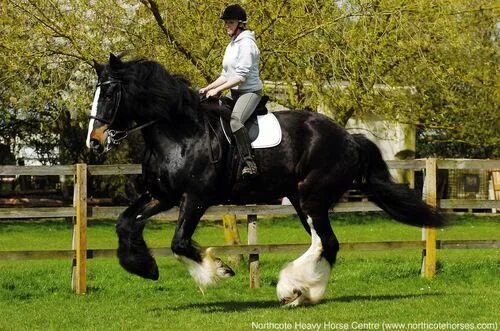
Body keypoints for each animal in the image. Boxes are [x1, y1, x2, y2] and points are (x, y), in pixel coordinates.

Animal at [88, 53, 444, 306]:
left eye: (109, 92)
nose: (95, 140)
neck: (179, 131)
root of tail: (349, 138)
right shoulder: (161, 195)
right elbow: (125, 223)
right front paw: (144, 267)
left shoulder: (195, 198)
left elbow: (179, 243)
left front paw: (218, 271)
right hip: (301, 199)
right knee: (321, 242)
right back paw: (301, 292)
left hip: (312, 196)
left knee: (327, 242)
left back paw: (293, 289)